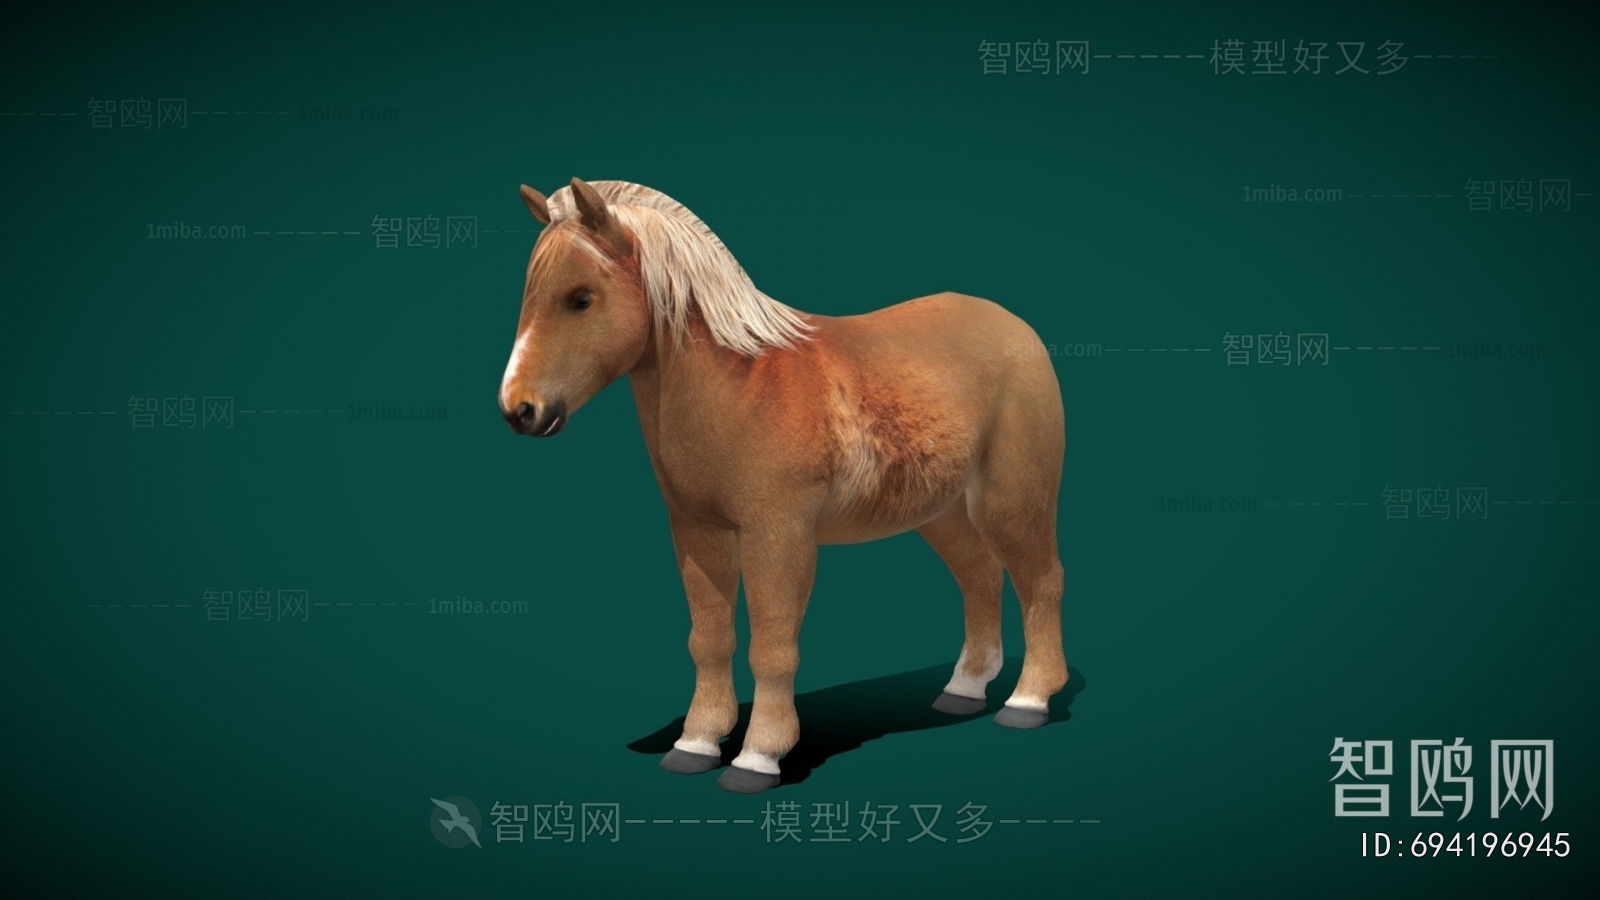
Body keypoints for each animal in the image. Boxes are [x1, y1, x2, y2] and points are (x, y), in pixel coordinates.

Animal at [499, 178, 1067, 793]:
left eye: (581, 298)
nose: (519, 410)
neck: (742, 385)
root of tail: (1015, 327)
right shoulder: (698, 533)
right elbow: (710, 640)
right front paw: (696, 744)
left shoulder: (778, 536)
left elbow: (772, 648)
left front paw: (757, 757)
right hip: (941, 512)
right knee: (981, 578)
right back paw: (964, 690)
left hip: (1012, 500)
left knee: (1041, 582)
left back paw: (1027, 702)